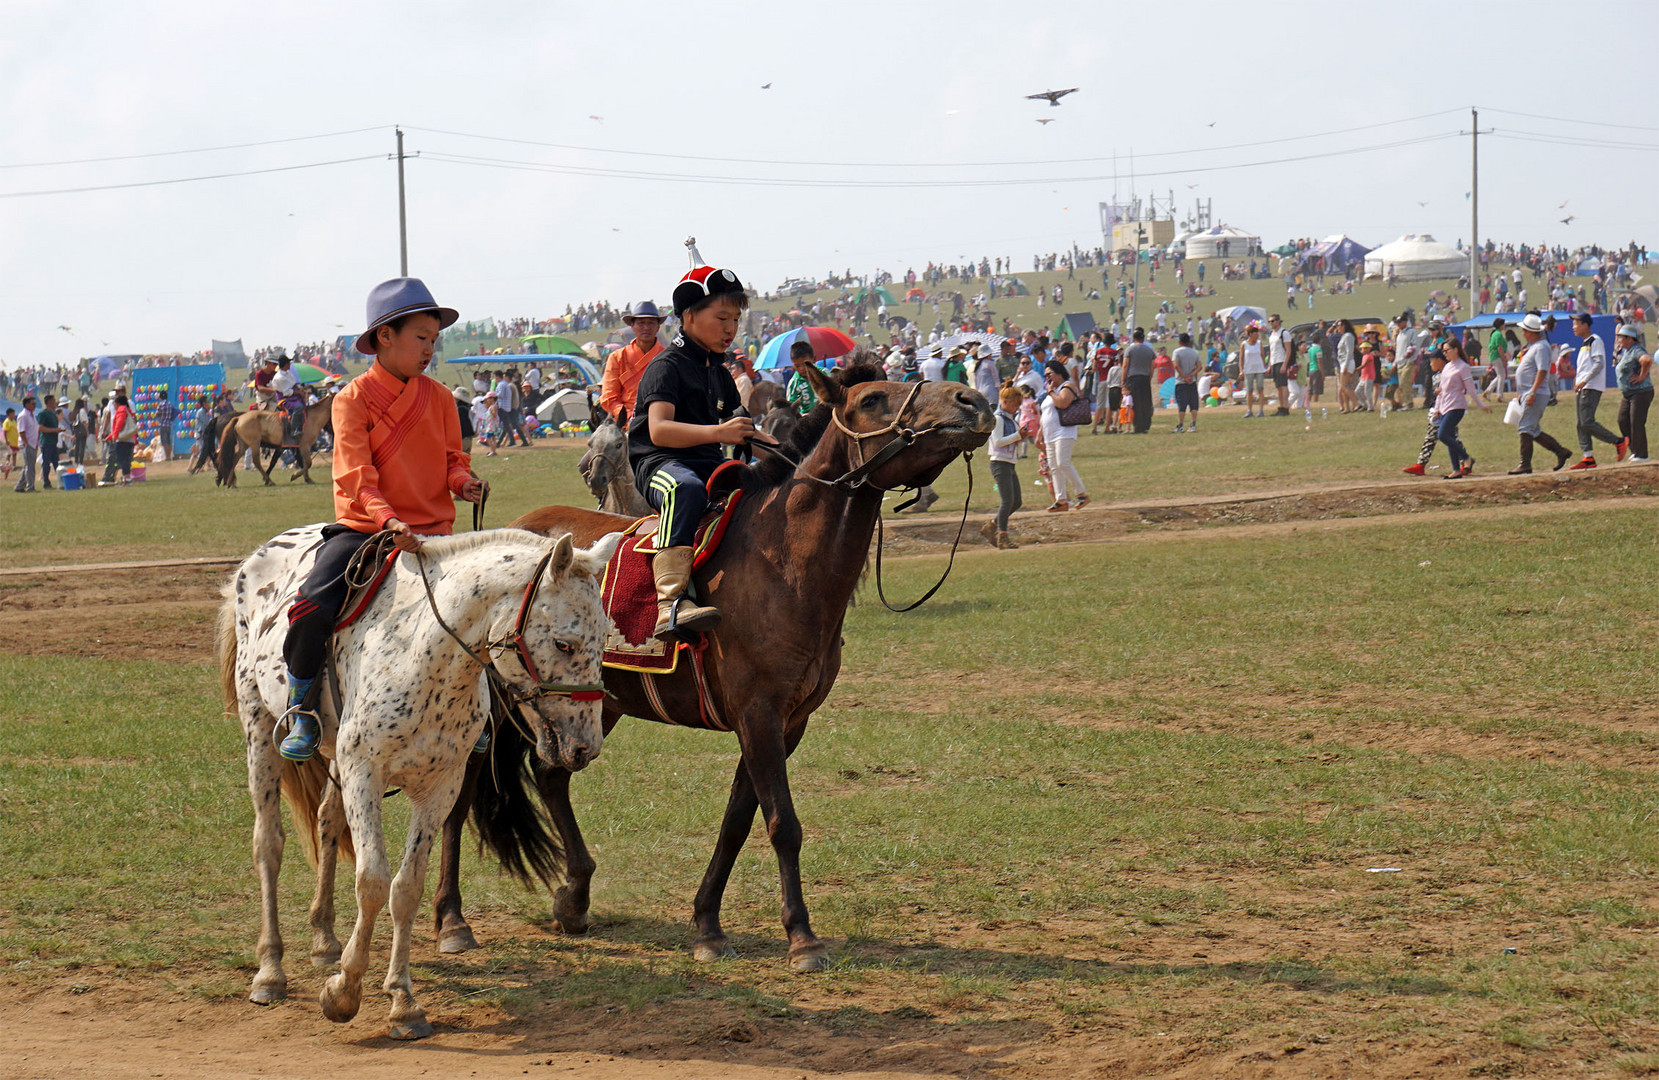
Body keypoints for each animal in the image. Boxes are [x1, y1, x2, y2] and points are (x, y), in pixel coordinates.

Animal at [434, 356, 988, 968]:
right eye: (871, 399)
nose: (970, 400)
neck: (785, 565)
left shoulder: (784, 723)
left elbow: (738, 823)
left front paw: (707, 926)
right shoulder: (758, 714)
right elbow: (782, 824)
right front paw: (802, 937)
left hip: (588, 704)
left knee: (552, 773)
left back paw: (574, 897)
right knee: (459, 796)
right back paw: (453, 920)